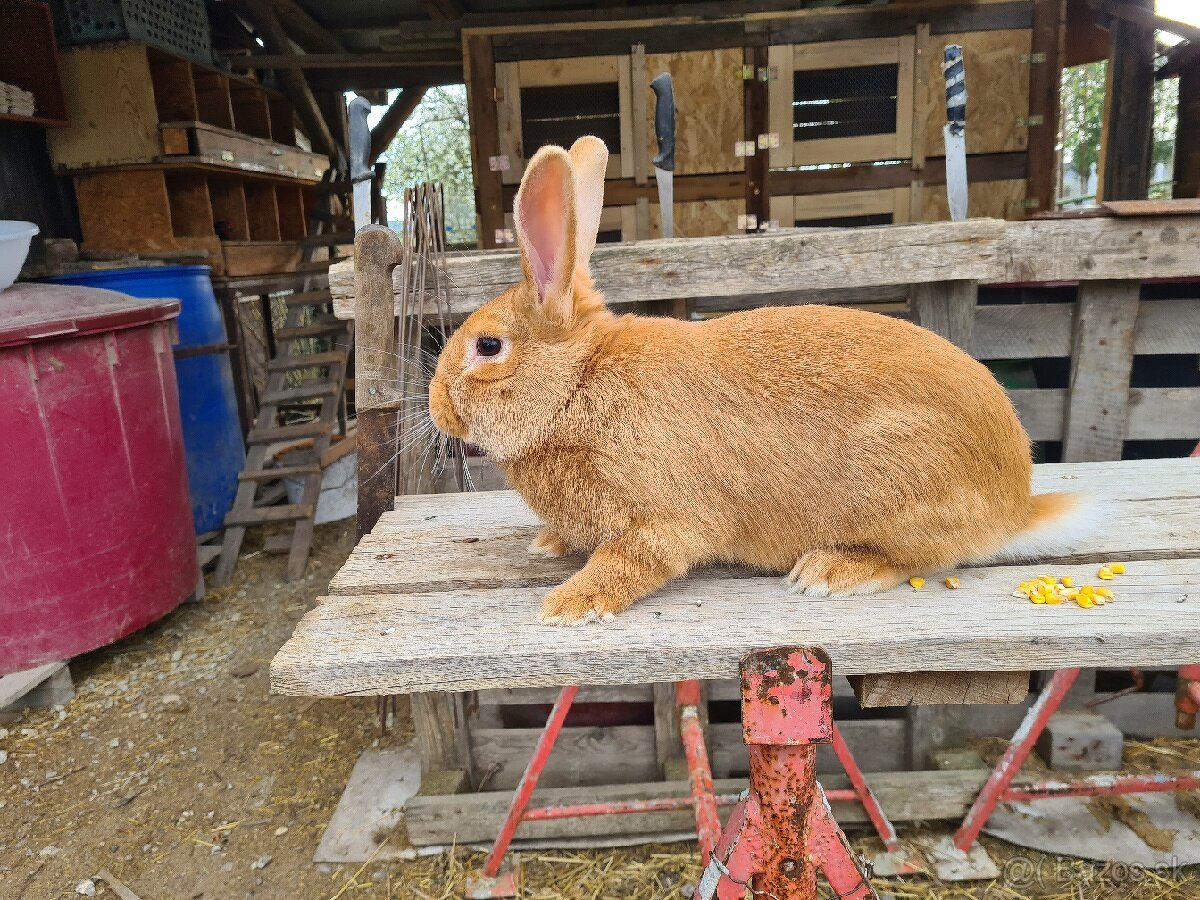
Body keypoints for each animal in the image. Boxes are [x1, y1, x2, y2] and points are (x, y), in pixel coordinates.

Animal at [427, 137, 1094, 628]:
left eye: (488, 347)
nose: (438, 411)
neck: (575, 384)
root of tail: (1014, 505)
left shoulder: (659, 523)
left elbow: (633, 561)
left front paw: (566, 605)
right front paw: (549, 544)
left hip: (898, 486)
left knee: (915, 559)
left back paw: (828, 572)